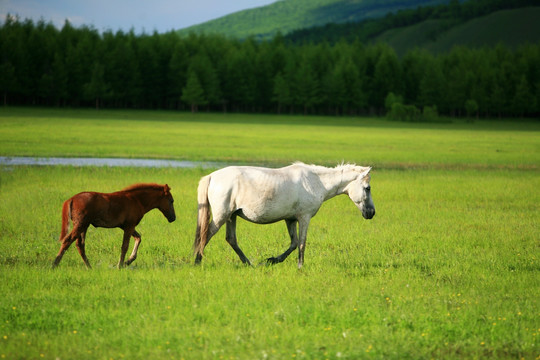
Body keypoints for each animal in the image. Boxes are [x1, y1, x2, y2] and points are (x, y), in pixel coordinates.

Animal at [194, 162, 376, 268]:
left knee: (231, 239)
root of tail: (212, 176)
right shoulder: (304, 218)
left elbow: (294, 243)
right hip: (221, 216)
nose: (371, 213)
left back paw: (249, 264)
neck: (316, 181)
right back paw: (197, 261)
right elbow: (302, 243)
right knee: (206, 235)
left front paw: (272, 260)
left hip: (232, 216)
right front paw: (300, 266)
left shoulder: (290, 220)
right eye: (367, 188)